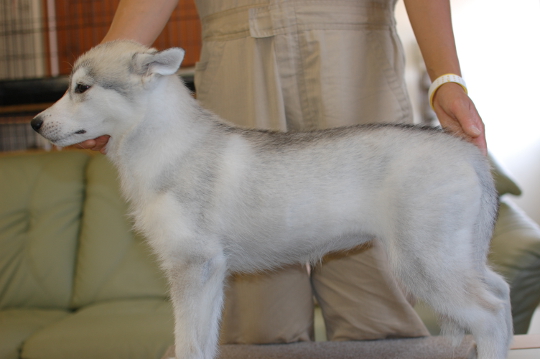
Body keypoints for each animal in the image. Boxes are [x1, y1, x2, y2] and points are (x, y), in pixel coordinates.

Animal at [31, 40, 512, 359]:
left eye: (81, 88)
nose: (35, 123)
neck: (165, 145)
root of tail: (467, 152)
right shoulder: (210, 274)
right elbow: (202, 342)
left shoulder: (192, 265)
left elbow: (187, 342)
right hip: (457, 256)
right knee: (502, 292)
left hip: (423, 262)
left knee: (488, 313)